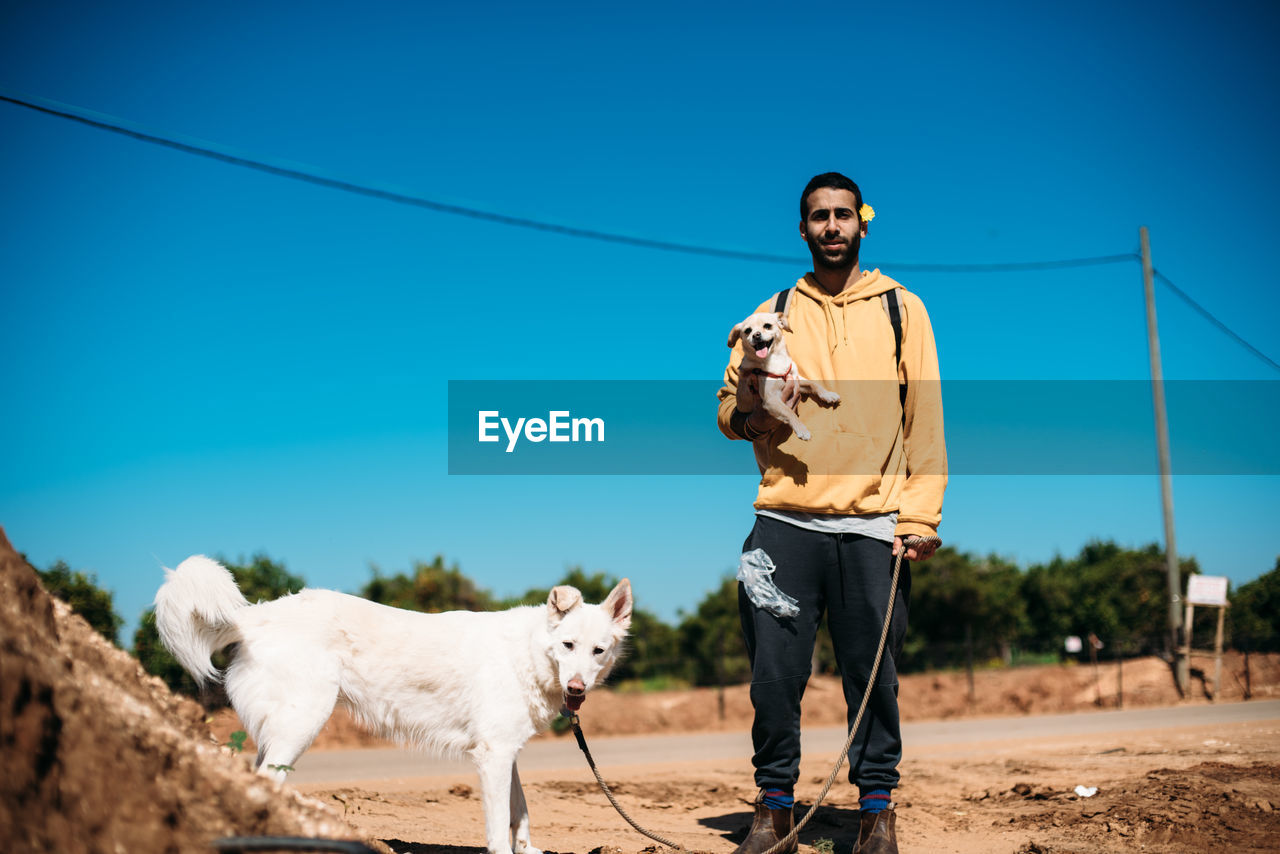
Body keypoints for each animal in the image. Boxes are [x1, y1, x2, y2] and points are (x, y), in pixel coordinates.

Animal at [156, 555, 634, 854]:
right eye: (567, 645)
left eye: (598, 651)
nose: (576, 689)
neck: (529, 652)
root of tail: (255, 616)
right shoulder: (494, 756)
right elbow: (500, 825)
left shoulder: (504, 753)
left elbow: (521, 812)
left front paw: (527, 848)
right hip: (303, 723)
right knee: (265, 782)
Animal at [732, 311, 839, 440]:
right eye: (748, 330)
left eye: (767, 326)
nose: (756, 335)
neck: (775, 359)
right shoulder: (771, 399)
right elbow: (789, 412)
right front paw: (801, 429)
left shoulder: (796, 380)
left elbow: (813, 384)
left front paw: (827, 395)